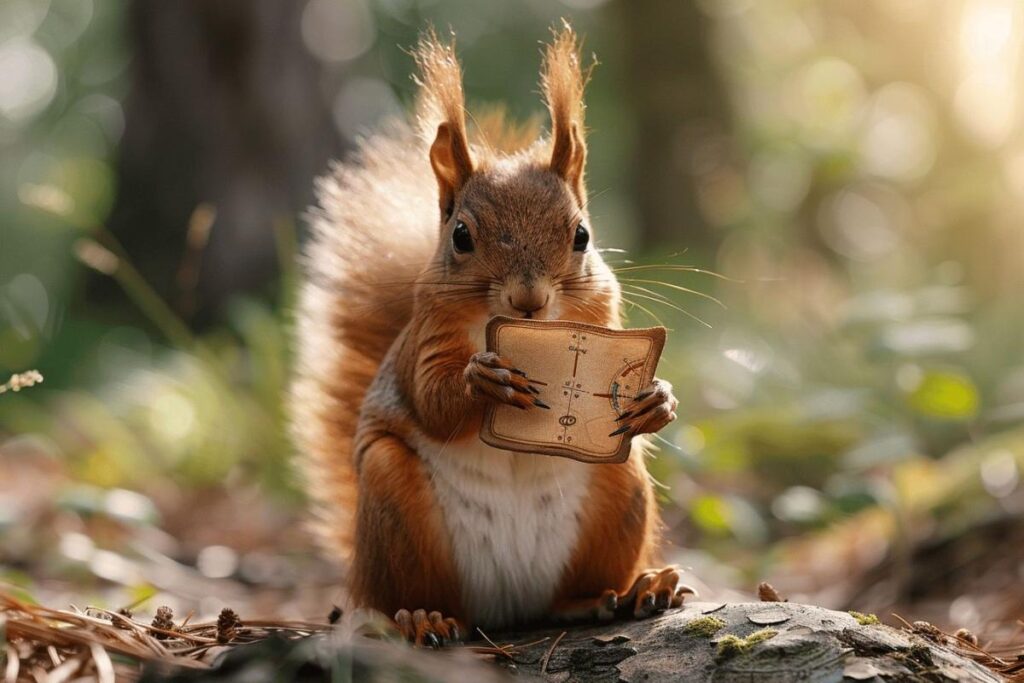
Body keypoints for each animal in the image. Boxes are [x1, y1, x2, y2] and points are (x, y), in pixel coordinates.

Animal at [291, 25, 685, 645]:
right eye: (460, 236)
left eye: (581, 234)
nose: (529, 300)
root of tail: (508, 608)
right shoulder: (423, 341)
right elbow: (431, 400)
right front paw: (483, 382)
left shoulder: (603, 315)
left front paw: (659, 399)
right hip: (391, 504)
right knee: (404, 600)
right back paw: (421, 618)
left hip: (620, 487)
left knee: (574, 590)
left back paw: (626, 593)